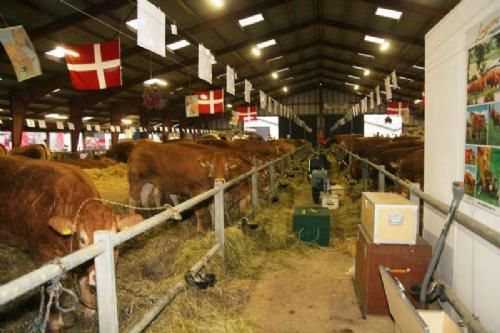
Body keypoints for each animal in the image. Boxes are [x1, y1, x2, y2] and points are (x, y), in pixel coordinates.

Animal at [0, 157, 143, 330]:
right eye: (81, 239)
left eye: (116, 233)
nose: (96, 276)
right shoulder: (43, 256)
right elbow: (51, 290)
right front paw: (56, 323)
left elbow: (82, 280)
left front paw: (88, 308)